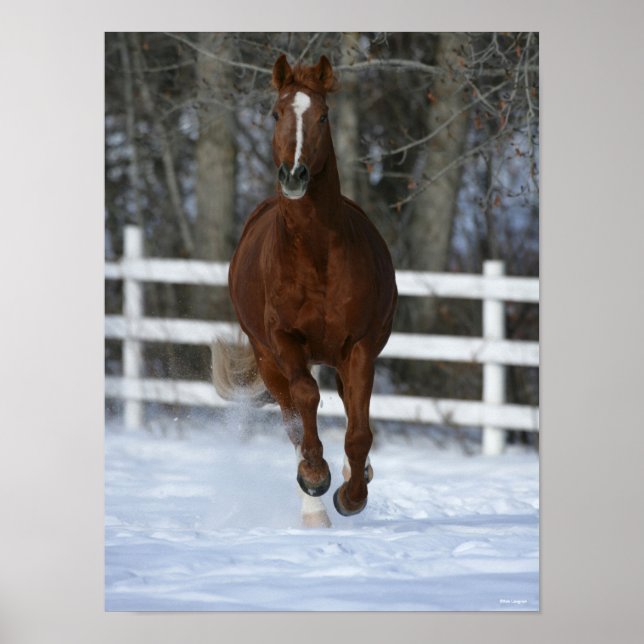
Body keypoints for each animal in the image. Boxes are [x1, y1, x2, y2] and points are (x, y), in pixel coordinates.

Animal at [212, 54, 397, 528]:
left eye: (324, 115)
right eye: (276, 113)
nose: (293, 175)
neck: (316, 259)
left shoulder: (360, 346)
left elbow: (359, 429)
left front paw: (352, 495)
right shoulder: (284, 342)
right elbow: (305, 402)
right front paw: (316, 478)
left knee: (350, 408)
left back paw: (354, 477)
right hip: (267, 359)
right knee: (294, 417)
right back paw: (313, 507)